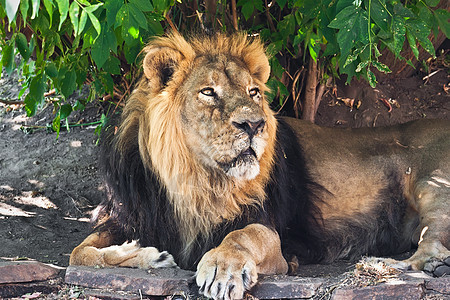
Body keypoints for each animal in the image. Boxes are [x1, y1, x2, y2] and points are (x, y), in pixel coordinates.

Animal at [68, 33, 448, 300]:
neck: (194, 180)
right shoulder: (130, 216)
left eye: (253, 92)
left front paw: (222, 269)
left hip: (434, 186)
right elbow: (79, 253)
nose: (254, 124)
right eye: (208, 92)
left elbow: (242, 236)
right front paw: (147, 255)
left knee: (431, 245)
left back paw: (387, 265)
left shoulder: (269, 229)